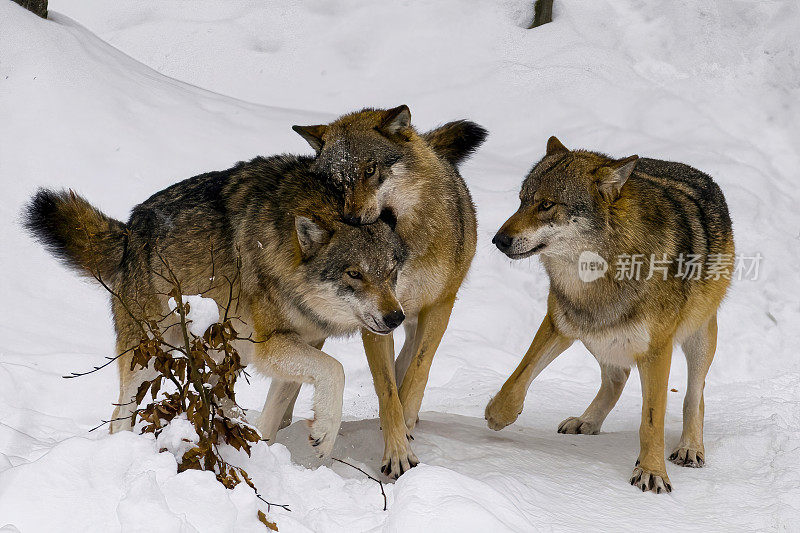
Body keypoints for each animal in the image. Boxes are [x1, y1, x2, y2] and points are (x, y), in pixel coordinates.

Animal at [266, 106, 484, 476]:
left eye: (370, 170)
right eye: (336, 182)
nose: (352, 219)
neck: (404, 247)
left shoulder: (438, 305)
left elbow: (418, 372)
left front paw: (406, 424)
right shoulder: (374, 318)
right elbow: (386, 390)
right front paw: (396, 453)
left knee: (410, 356)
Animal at [484, 135, 736, 492]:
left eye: (546, 205)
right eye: (521, 202)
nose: (498, 240)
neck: (598, 274)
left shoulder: (656, 350)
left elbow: (652, 420)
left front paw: (652, 472)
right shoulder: (560, 322)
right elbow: (518, 376)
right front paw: (499, 414)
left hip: (697, 338)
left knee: (694, 395)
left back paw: (690, 448)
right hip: (598, 334)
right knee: (617, 377)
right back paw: (587, 421)